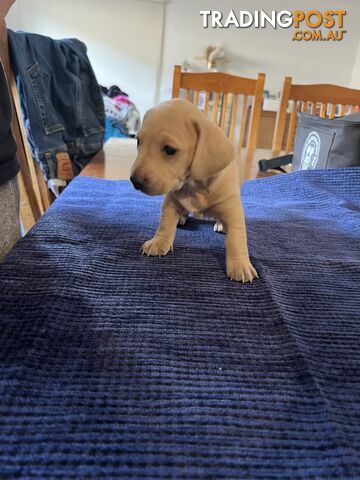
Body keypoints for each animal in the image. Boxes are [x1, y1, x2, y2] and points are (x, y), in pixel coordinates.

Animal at [131, 99, 258, 284]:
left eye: (170, 150)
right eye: (139, 141)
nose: (135, 181)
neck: (193, 185)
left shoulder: (232, 209)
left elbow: (237, 238)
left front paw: (240, 264)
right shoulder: (171, 202)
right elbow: (165, 224)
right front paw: (158, 242)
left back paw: (220, 224)